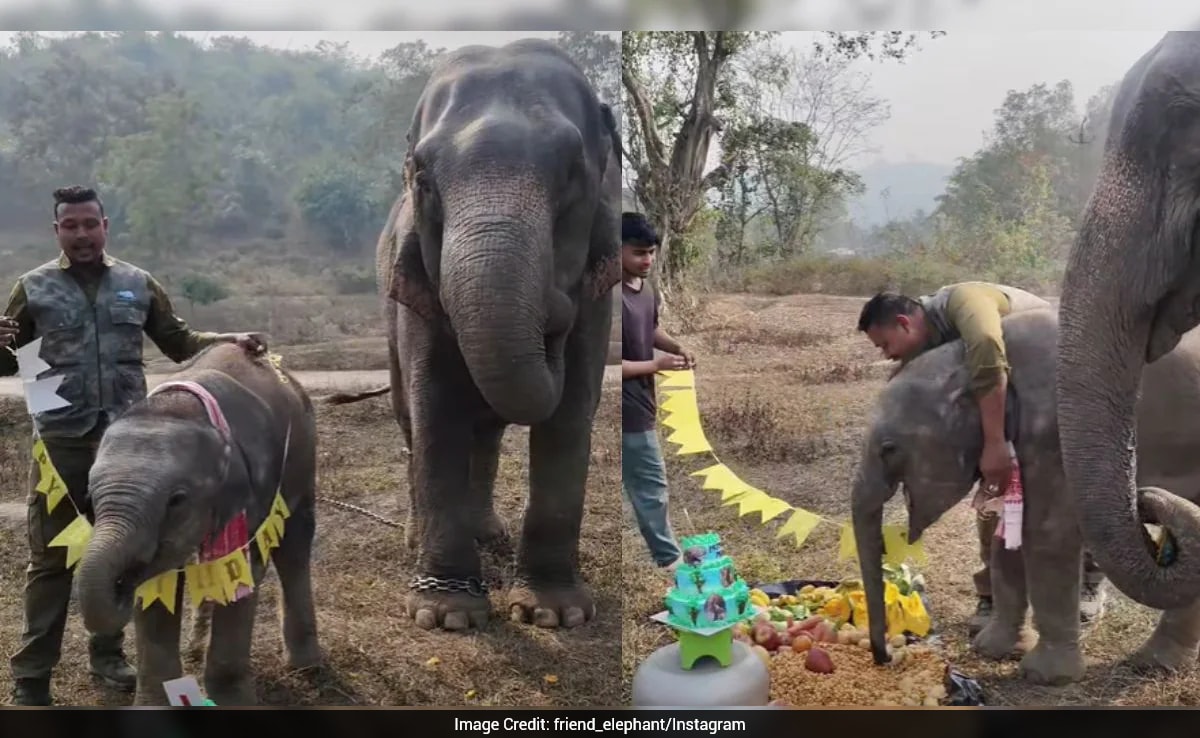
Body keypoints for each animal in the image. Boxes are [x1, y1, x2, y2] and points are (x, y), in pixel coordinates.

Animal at [75, 343, 320, 705]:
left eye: (177, 500)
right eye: (90, 499)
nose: (121, 586)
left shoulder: (254, 495)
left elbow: (242, 574)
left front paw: (233, 703)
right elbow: (158, 590)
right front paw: (153, 705)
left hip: (304, 460)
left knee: (294, 549)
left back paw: (307, 666)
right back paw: (195, 650)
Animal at [370, 38, 621, 632]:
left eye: (572, 172)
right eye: (423, 178)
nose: (555, 309)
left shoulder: (600, 294)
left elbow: (571, 412)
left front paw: (554, 613)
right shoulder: (417, 289)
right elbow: (435, 407)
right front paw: (447, 615)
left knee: (486, 432)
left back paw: (487, 533)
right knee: (409, 416)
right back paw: (419, 537)